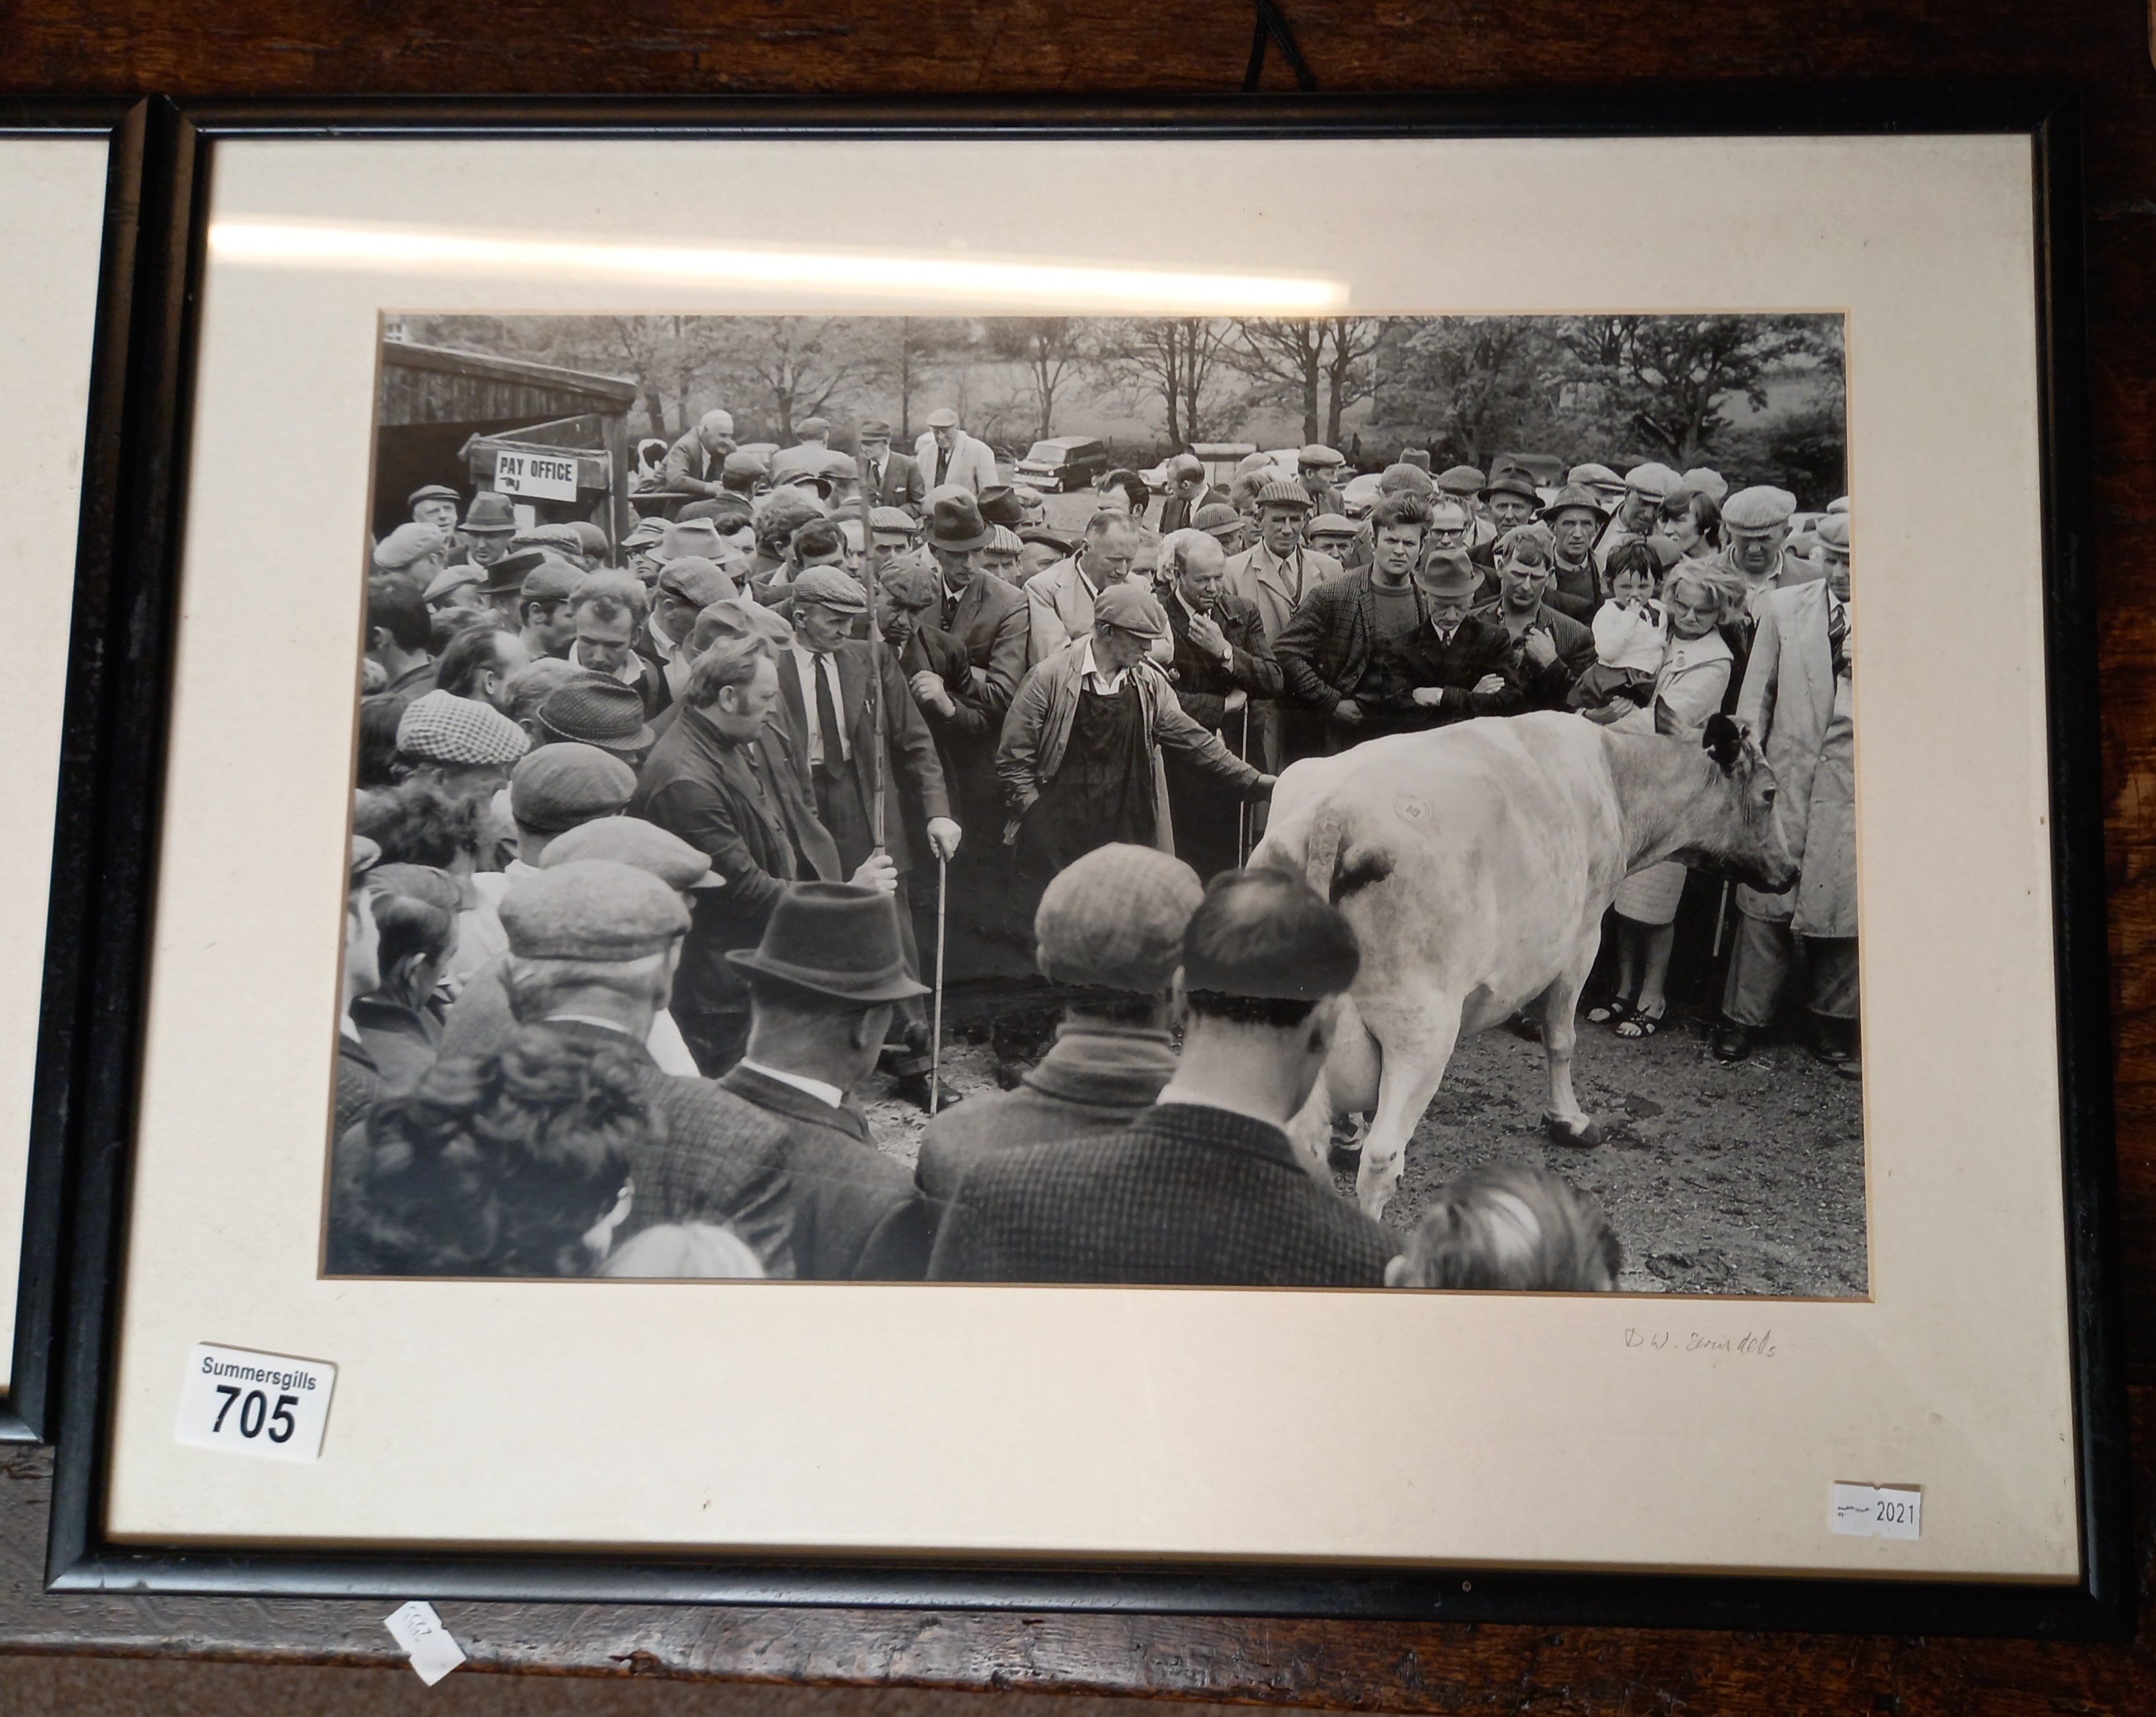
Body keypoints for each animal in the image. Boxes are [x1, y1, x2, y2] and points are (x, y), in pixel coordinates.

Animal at [1259, 712, 1794, 1216]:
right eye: (1770, 793)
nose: (1790, 872)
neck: (1617, 775)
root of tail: (1334, 812)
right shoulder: (1582, 936)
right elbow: (1561, 1037)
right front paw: (1569, 1121)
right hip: (1422, 1028)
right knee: (1381, 1161)